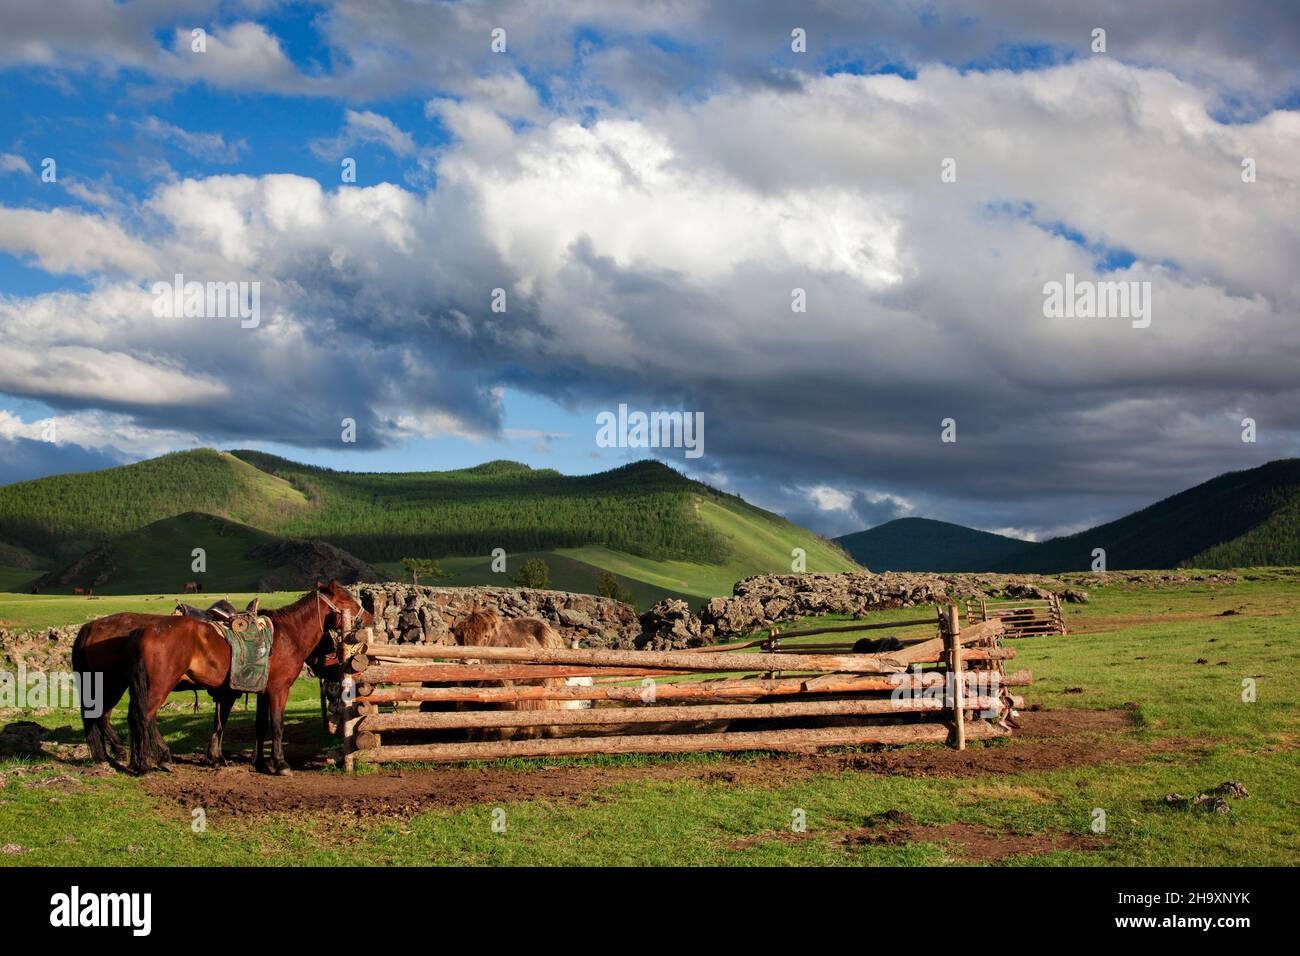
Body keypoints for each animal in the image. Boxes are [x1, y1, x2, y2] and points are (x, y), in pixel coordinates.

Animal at [123, 582, 369, 780]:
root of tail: (144, 631)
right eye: (347, 599)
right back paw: (148, 765)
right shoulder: (279, 690)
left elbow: (260, 725)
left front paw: (259, 763)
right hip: (160, 685)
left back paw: (146, 761)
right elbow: (277, 725)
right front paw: (280, 764)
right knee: (143, 717)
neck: (288, 635)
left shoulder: (263, 691)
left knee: (138, 717)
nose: (369, 618)